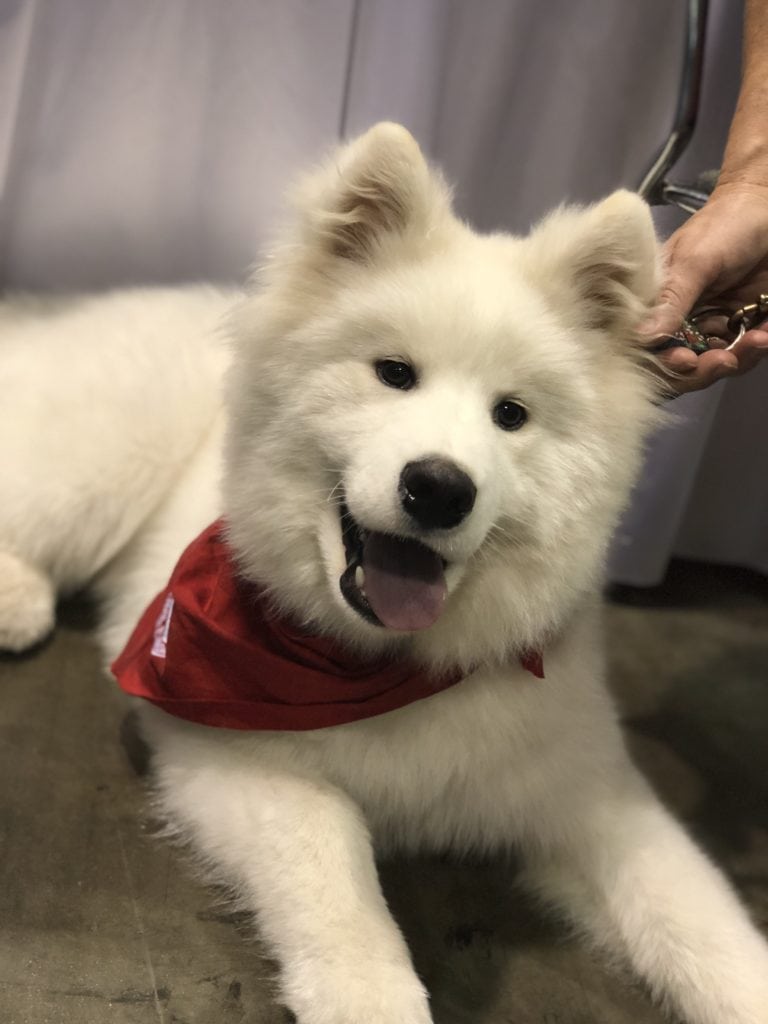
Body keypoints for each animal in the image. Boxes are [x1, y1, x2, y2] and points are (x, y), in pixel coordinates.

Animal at [1, 125, 768, 1024]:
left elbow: (699, 921)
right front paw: (370, 996)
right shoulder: (237, 752)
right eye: (393, 373)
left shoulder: (586, 793)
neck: (383, 665)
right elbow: (337, 882)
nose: (438, 487)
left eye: (512, 415)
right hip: (97, 465)